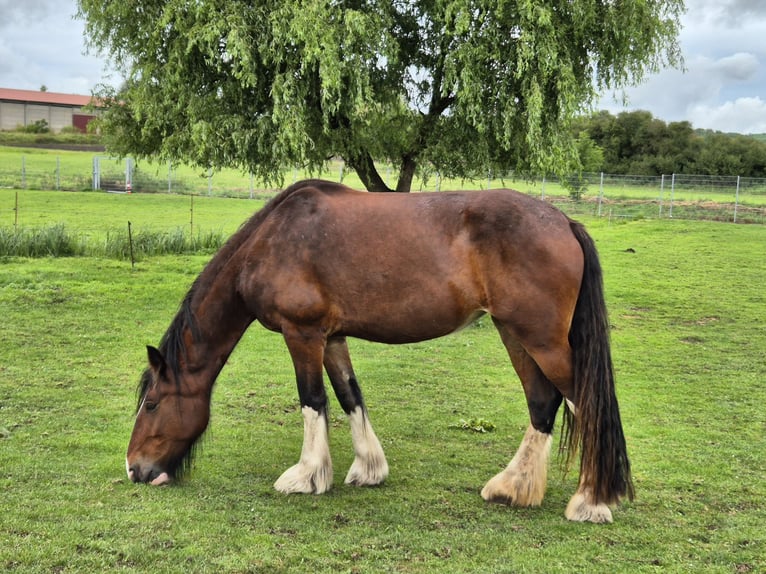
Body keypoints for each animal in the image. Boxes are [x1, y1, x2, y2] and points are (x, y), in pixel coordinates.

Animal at [126, 179, 634, 523]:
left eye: (151, 404)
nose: (134, 469)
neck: (272, 241)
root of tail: (564, 221)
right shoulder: (331, 336)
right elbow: (350, 395)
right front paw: (368, 468)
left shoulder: (302, 334)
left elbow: (312, 400)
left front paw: (305, 476)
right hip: (516, 333)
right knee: (543, 403)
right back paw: (512, 488)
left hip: (540, 339)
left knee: (585, 403)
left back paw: (590, 502)